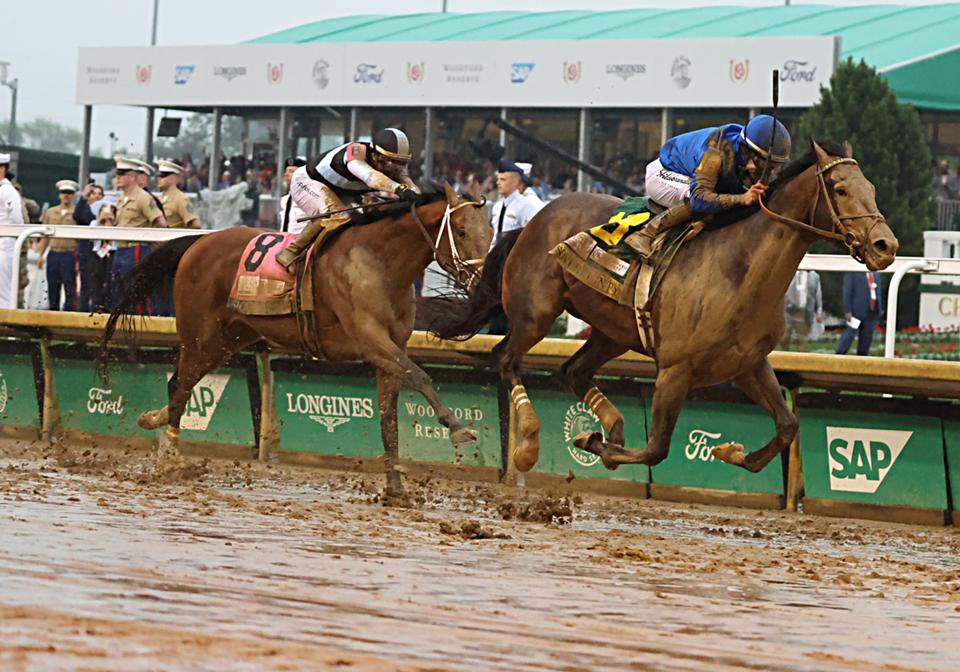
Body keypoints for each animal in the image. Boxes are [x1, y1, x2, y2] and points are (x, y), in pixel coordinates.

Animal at [98, 183, 492, 500]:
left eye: (490, 232)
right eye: (460, 230)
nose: (480, 280)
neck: (380, 261)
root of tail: (200, 241)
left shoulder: (391, 349)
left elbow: (390, 421)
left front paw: (395, 490)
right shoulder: (371, 341)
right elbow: (421, 377)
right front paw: (458, 428)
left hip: (228, 338)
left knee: (180, 384)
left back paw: (154, 421)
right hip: (199, 334)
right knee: (180, 386)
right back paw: (171, 459)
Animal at [427, 141, 898, 475]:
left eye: (873, 189)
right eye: (840, 189)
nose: (885, 246)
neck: (739, 268)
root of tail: (534, 221)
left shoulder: (747, 363)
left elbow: (787, 426)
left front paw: (731, 451)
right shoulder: (675, 370)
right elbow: (656, 448)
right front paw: (598, 446)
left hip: (612, 331)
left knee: (572, 371)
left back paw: (612, 427)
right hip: (535, 313)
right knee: (505, 359)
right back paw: (528, 444)